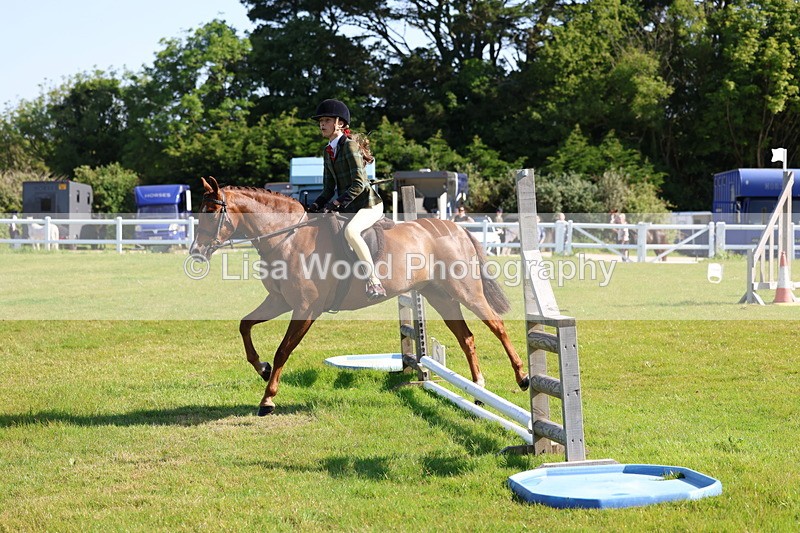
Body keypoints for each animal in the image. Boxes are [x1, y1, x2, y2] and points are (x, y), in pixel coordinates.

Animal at [189, 176, 528, 415]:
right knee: (466, 337)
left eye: (211, 214)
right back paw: (478, 391)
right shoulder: (280, 301)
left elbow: (283, 350)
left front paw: (267, 400)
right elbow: (245, 325)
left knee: (497, 326)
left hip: (466, 291)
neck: (288, 237)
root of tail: (455, 228)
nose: (196, 254)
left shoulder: (305, 309)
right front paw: (261, 368)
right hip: (440, 296)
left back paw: (522, 378)